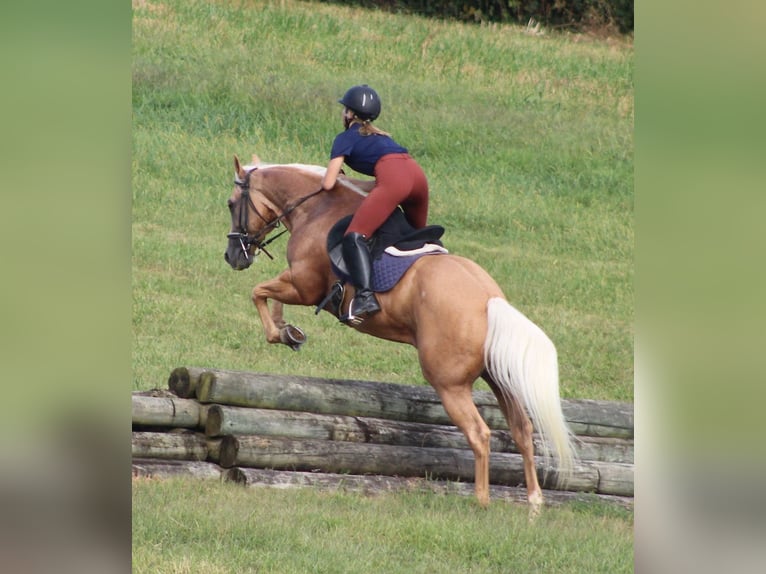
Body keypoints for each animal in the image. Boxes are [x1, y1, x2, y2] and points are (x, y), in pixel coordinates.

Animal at [223, 154, 576, 511]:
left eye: (231, 204)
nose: (233, 256)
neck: (317, 207)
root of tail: (490, 300)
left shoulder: (304, 284)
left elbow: (258, 292)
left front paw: (280, 334)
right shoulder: (297, 281)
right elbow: (269, 296)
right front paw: (288, 330)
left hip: (449, 383)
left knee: (479, 434)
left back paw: (481, 501)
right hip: (499, 377)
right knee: (522, 430)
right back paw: (534, 504)